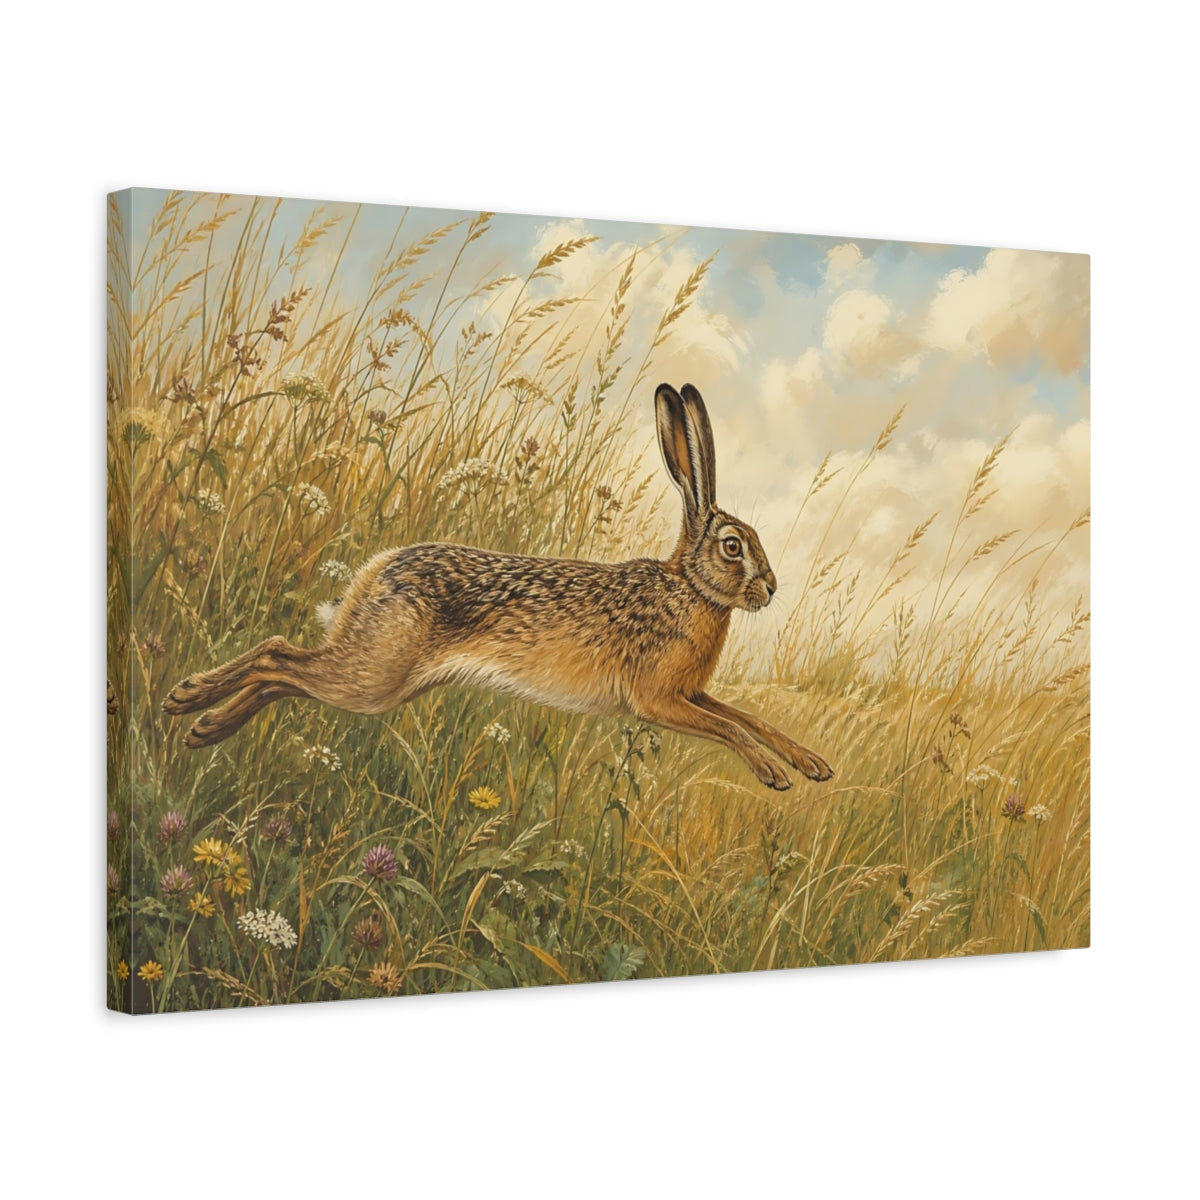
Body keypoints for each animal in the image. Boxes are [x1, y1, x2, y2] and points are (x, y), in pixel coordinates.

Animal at [164, 383, 833, 789]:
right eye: (733, 546)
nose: (771, 588)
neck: (690, 588)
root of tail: (372, 575)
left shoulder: (689, 693)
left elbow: (746, 717)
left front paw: (811, 764)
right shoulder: (656, 699)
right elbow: (730, 728)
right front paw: (773, 775)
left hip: (378, 679)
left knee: (283, 669)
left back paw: (200, 721)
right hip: (372, 676)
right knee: (278, 657)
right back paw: (192, 706)